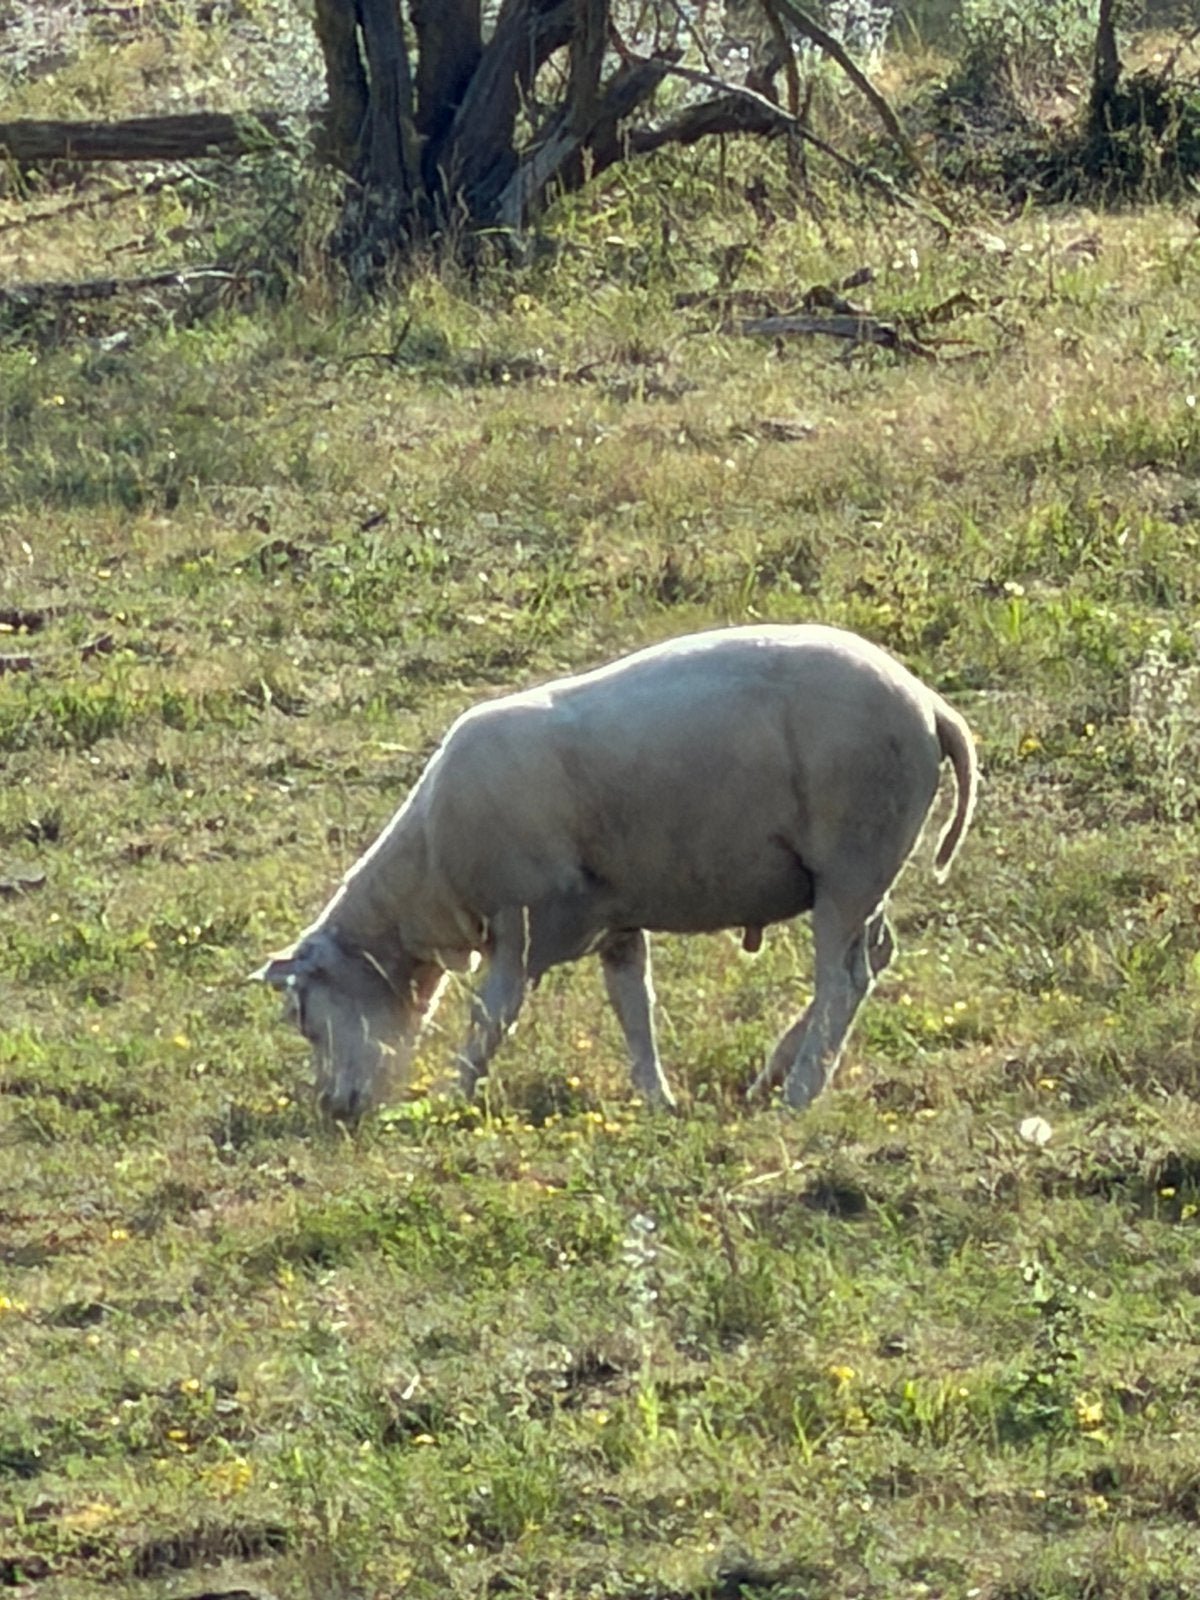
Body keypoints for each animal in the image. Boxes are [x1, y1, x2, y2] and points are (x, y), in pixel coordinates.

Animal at [255, 623, 977, 1121]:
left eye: (305, 1017)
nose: (336, 1109)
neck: (430, 882)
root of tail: (928, 705)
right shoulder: (617, 921)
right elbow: (634, 1007)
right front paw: (657, 1098)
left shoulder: (520, 921)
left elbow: (492, 1016)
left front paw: (455, 1094)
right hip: (865, 872)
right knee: (873, 958)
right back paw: (774, 1073)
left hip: (851, 862)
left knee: (842, 980)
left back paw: (797, 1091)